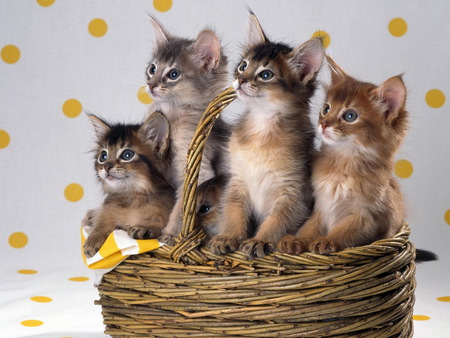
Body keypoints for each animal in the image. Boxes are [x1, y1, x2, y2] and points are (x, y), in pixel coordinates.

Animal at [83, 112, 175, 258]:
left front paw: (147, 228)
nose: (107, 167)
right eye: (103, 156)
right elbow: (103, 220)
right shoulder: (108, 210)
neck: (132, 196)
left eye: (127, 155)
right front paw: (94, 238)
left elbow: (161, 228)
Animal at [146, 15, 230, 243]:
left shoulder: (198, 173)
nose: (150, 85)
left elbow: (181, 208)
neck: (173, 115)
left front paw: (169, 234)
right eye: (152, 69)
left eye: (173, 74)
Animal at [209, 12, 326, 258]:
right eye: (243, 65)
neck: (262, 130)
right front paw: (229, 236)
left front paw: (260, 241)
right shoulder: (238, 181)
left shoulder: (293, 193)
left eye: (265, 74)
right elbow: (233, 212)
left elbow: (277, 221)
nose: (240, 80)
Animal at [278, 56, 408, 255]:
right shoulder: (321, 208)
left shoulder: (368, 217)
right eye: (326, 109)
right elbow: (308, 228)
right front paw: (296, 240)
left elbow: (346, 231)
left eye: (349, 116)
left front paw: (326, 241)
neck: (341, 165)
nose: (323, 124)